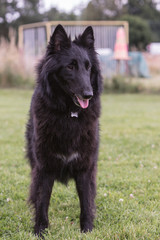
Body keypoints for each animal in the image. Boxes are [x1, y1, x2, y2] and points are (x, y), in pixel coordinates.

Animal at [25, 24, 102, 236]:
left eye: (88, 67)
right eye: (70, 66)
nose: (88, 94)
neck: (69, 115)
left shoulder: (85, 167)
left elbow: (86, 202)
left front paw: (87, 230)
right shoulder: (44, 168)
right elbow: (42, 202)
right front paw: (40, 231)